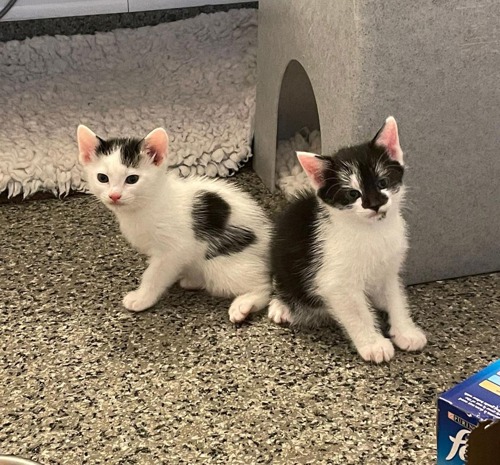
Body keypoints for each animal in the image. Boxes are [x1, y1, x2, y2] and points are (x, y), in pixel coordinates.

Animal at [76, 126, 272, 322]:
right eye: (102, 178)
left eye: (132, 179)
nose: (114, 196)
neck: (149, 203)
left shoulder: (173, 249)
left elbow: (155, 274)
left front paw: (142, 297)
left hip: (222, 263)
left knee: (264, 285)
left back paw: (244, 304)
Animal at [270, 117, 426, 362]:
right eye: (353, 194)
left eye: (382, 182)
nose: (375, 204)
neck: (372, 232)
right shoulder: (335, 281)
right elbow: (357, 312)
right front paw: (374, 344)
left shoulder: (389, 268)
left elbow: (396, 296)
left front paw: (406, 331)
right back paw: (281, 305)